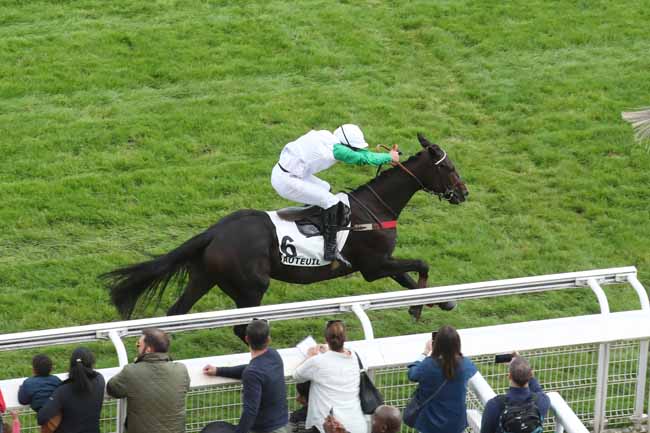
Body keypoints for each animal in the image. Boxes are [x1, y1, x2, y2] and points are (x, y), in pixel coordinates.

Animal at [102, 133, 469, 341]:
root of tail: (214, 232)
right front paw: (422, 307)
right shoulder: (373, 265)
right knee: (241, 327)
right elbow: (420, 264)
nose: (464, 193)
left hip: (204, 277)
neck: (374, 209)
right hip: (251, 287)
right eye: (448, 168)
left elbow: (408, 280)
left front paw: (442, 301)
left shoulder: (381, 263)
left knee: (174, 313)